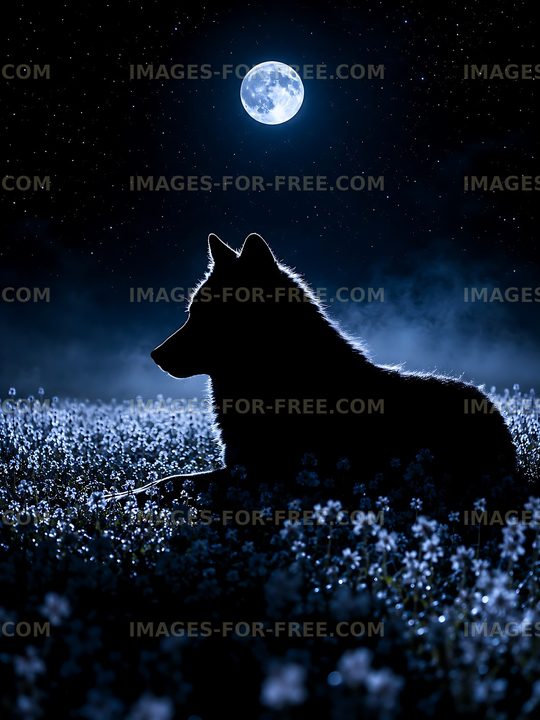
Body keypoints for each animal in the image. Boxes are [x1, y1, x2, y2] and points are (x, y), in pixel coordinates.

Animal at [113, 232, 518, 510]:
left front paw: (117, 499)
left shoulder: (261, 476)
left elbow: (174, 482)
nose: (154, 355)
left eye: (207, 316)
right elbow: (169, 478)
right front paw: (119, 495)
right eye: (191, 312)